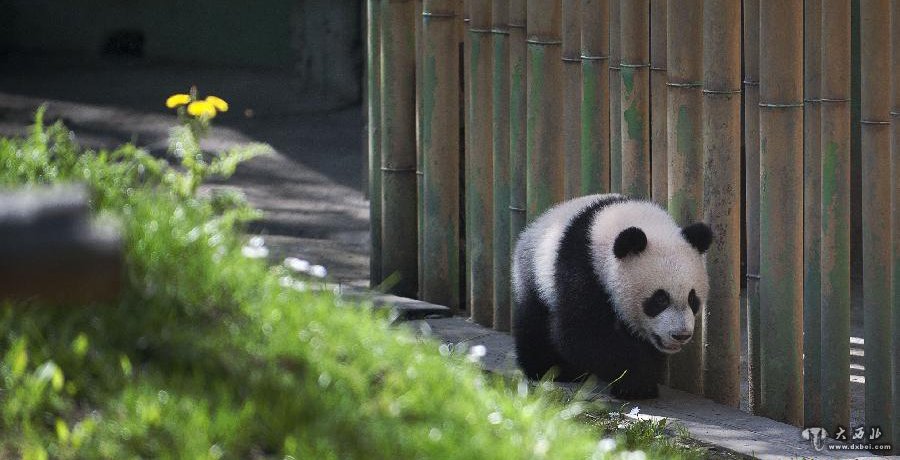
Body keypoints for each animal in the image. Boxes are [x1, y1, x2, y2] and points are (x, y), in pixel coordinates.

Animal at [512, 194, 712, 398]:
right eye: (660, 299)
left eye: (692, 299)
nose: (681, 335)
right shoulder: (581, 268)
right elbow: (584, 333)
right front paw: (637, 384)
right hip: (535, 273)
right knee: (533, 321)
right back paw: (552, 370)